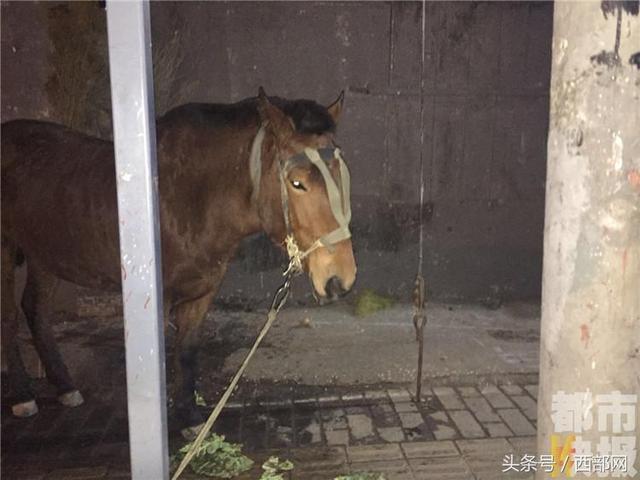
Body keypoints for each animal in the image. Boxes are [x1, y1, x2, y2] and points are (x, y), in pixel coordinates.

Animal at [1, 88, 357, 435]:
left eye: (342, 175)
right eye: (297, 183)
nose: (340, 278)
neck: (187, 197)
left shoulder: (201, 295)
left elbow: (186, 352)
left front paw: (189, 417)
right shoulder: (156, 303)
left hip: (44, 256)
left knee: (34, 308)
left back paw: (64, 386)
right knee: (10, 318)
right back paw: (22, 396)